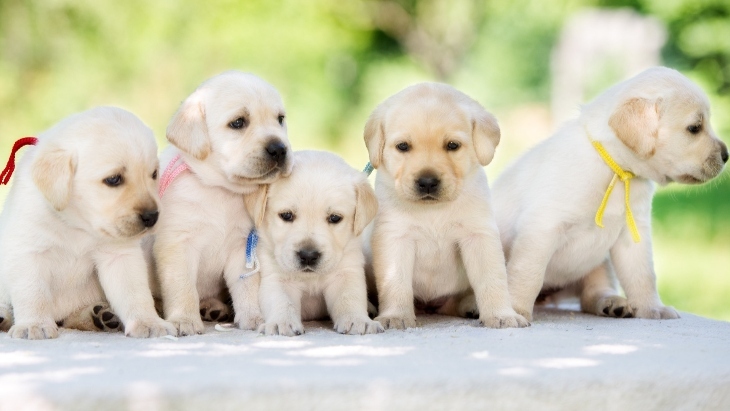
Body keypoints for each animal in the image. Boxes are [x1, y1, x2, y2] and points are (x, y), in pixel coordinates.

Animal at [0, 107, 175, 342]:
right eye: (113, 179)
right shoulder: (29, 252)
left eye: (154, 174)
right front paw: (34, 324)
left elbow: (135, 292)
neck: (77, 224)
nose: (152, 217)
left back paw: (99, 316)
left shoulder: (119, 255)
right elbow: (33, 293)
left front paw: (148, 322)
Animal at [154, 71, 290, 336]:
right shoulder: (178, 245)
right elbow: (182, 286)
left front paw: (253, 317)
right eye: (238, 123)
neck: (221, 190)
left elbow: (247, 287)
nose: (280, 149)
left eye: (280, 119)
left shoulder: (241, 248)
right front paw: (184, 319)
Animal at [245, 151, 382, 338]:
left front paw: (357, 320)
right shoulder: (277, 276)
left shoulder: (346, 271)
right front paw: (282, 323)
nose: (308, 256)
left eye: (335, 218)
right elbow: (282, 301)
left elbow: (349, 297)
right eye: (286, 215)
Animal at [364, 83, 528, 332]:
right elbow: (395, 282)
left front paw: (501, 314)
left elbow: (492, 279)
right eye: (403, 146)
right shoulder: (394, 237)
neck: (433, 211)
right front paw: (396, 315)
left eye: (452, 145)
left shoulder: (478, 235)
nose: (427, 182)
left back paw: (472, 305)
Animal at [492, 67, 724, 322]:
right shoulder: (542, 228)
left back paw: (612, 303)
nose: (726, 155)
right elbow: (528, 273)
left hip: (600, 263)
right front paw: (516, 310)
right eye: (694, 128)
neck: (615, 169)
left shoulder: (633, 232)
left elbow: (643, 275)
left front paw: (652, 307)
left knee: (592, 293)